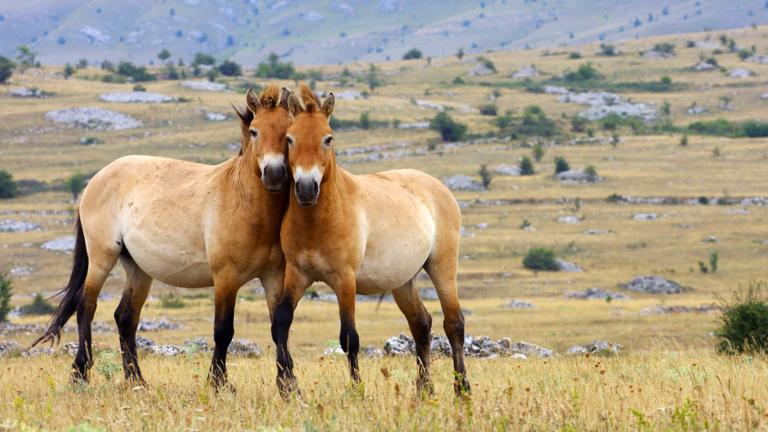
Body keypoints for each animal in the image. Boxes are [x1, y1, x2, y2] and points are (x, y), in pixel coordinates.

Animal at [33, 85, 295, 391]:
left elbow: (279, 327)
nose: (274, 175)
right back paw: (80, 374)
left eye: (289, 132)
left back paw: (136, 379)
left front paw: (288, 384)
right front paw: (219, 384)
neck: (244, 201)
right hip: (102, 257)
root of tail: (95, 181)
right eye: (254, 131)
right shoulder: (225, 278)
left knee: (125, 317)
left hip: (137, 268)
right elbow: (223, 330)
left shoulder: (274, 277)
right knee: (86, 306)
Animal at [271, 84, 470, 396]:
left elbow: (349, 337)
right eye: (289, 139)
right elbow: (281, 320)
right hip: (403, 281)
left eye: (328, 139)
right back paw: (424, 390)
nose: (305, 189)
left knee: (454, 323)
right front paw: (284, 386)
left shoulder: (345, 281)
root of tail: (439, 186)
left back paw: (462, 389)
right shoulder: (297, 274)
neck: (319, 222)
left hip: (442, 267)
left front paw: (357, 391)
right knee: (421, 323)